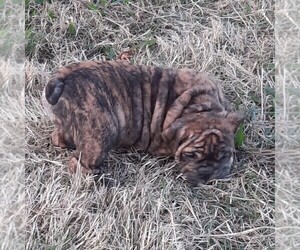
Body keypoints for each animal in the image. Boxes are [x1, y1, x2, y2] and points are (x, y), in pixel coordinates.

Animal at [42, 60, 244, 186]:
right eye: (191, 156)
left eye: (225, 155)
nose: (206, 176)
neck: (200, 106)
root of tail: (62, 79)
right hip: (101, 131)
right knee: (80, 163)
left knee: (59, 137)